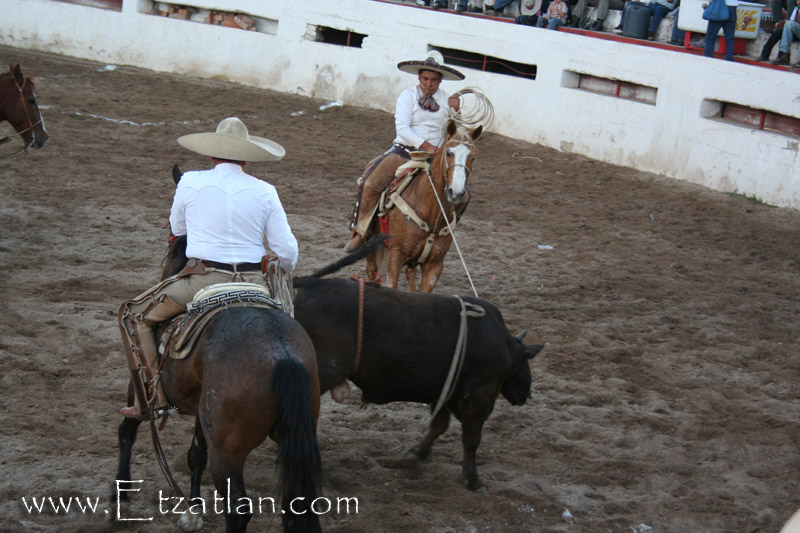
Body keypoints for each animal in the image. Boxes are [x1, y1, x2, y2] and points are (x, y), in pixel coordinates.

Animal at [115, 233, 324, 533]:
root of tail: (282, 353)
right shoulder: (203, 413)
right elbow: (195, 455)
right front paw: (192, 512)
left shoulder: (144, 388)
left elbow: (127, 430)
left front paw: (120, 501)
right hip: (292, 440)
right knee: (297, 503)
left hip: (227, 452)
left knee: (238, 509)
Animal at [293, 276, 545, 492]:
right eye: (527, 363)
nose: (527, 395)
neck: (503, 344)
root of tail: (312, 282)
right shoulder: (479, 396)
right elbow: (471, 438)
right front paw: (472, 479)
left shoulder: (445, 391)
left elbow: (438, 426)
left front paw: (414, 453)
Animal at [364, 119, 482, 292]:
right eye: (449, 153)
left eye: (472, 158)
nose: (456, 192)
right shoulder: (395, 256)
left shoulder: (434, 265)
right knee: (371, 270)